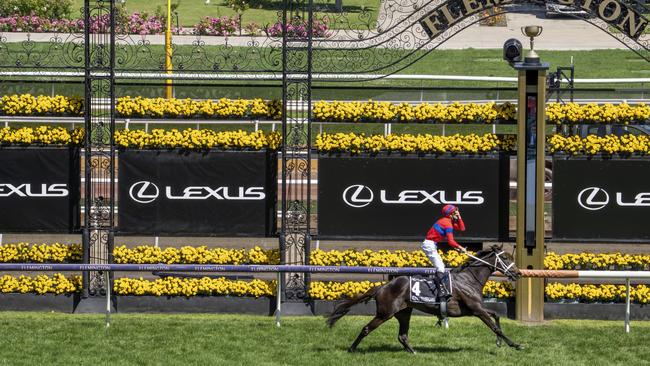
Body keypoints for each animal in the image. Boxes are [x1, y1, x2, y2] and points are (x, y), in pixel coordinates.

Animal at [324, 244, 520, 354]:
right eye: (505, 257)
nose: (518, 273)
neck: (469, 279)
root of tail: (383, 287)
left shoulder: (475, 308)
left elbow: (496, 315)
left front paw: (499, 342)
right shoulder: (476, 309)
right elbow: (495, 327)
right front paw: (515, 344)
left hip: (404, 312)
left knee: (402, 335)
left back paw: (414, 352)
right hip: (385, 313)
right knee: (366, 329)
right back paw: (351, 349)